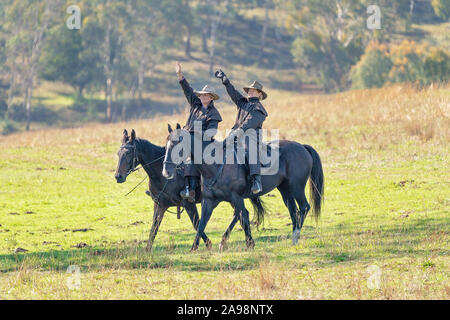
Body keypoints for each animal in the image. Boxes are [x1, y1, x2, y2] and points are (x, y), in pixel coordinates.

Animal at [162, 124, 324, 251]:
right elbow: (202, 223)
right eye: (167, 145)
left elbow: (243, 215)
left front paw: (249, 243)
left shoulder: (236, 198)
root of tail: (302, 147)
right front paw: (195, 247)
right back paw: (293, 238)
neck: (216, 166)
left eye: (177, 145)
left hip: (297, 188)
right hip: (285, 190)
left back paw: (296, 234)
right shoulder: (209, 201)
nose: (166, 172)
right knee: (293, 210)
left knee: (304, 207)